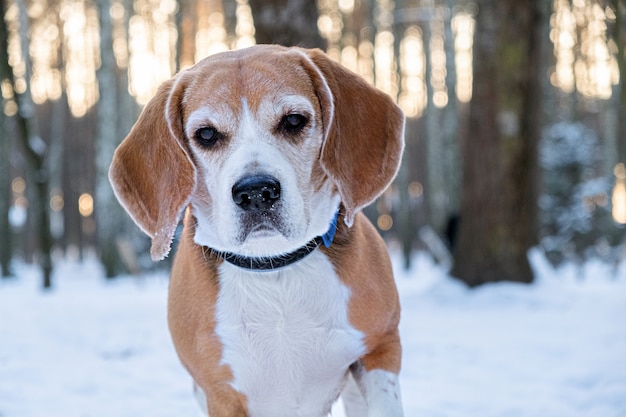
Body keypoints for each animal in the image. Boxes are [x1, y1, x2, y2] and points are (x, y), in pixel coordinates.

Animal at [108, 44, 404, 416]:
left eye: (293, 121)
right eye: (206, 134)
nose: (256, 192)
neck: (274, 270)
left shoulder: (381, 348)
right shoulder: (222, 393)